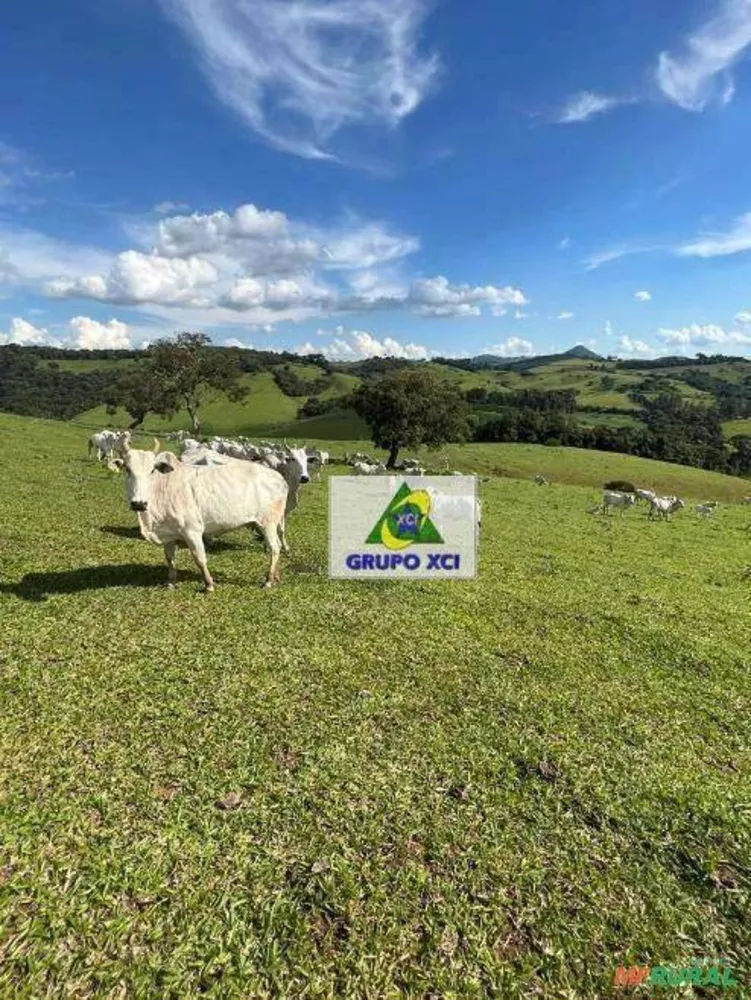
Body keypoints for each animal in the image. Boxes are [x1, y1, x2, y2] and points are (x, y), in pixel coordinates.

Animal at [110, 436, 290, 588]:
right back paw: (276, 577)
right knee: (276, 545)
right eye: (127, 469)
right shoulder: (169, 534)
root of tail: (279, 478)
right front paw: (171, 582)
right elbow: (170, 558)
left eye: (152, 470)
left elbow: (200, 558)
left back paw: (268, 580)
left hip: (268, 522)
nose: (138, 504)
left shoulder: (192, 530)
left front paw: (208, 584)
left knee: (275, 547)